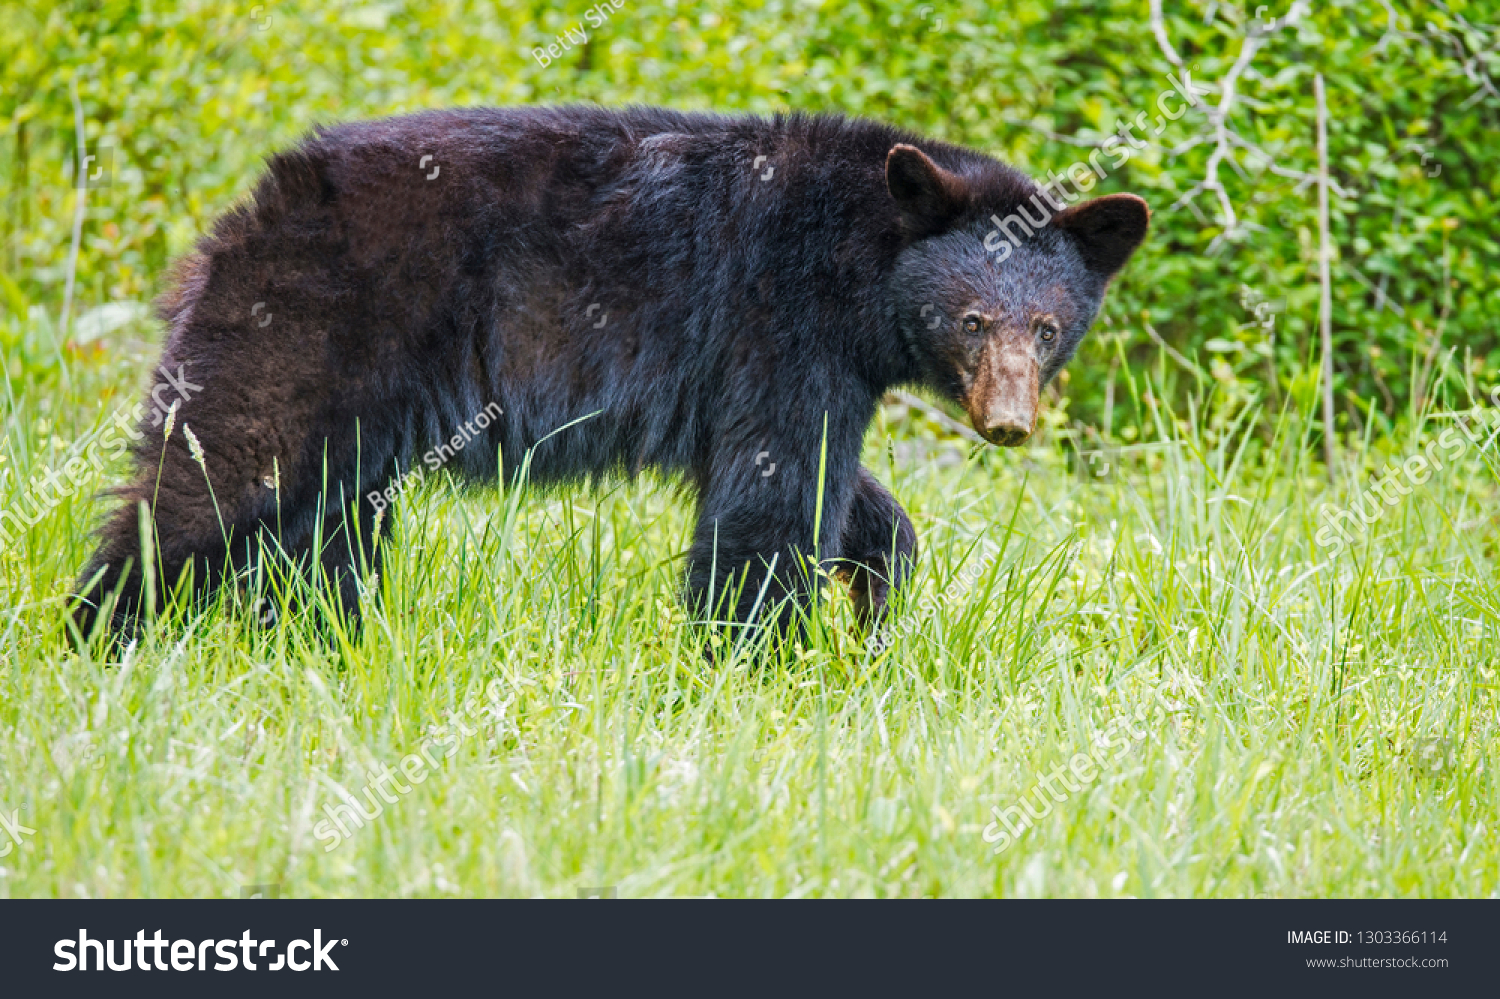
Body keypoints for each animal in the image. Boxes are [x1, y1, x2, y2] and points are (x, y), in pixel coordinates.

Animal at [67, 105, 1146, 642]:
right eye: (972, 319)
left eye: (1048, 327)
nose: (1007, 420)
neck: (858, 250)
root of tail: (241, 217)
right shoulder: (778, 319)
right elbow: (773, 494)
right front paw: (755, 658)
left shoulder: (788, 366)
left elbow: (834, 489)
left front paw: (878, 599)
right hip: (305, 327)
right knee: (214, 478)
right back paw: (101, 634)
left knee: (320, 525)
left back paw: (317, 639)